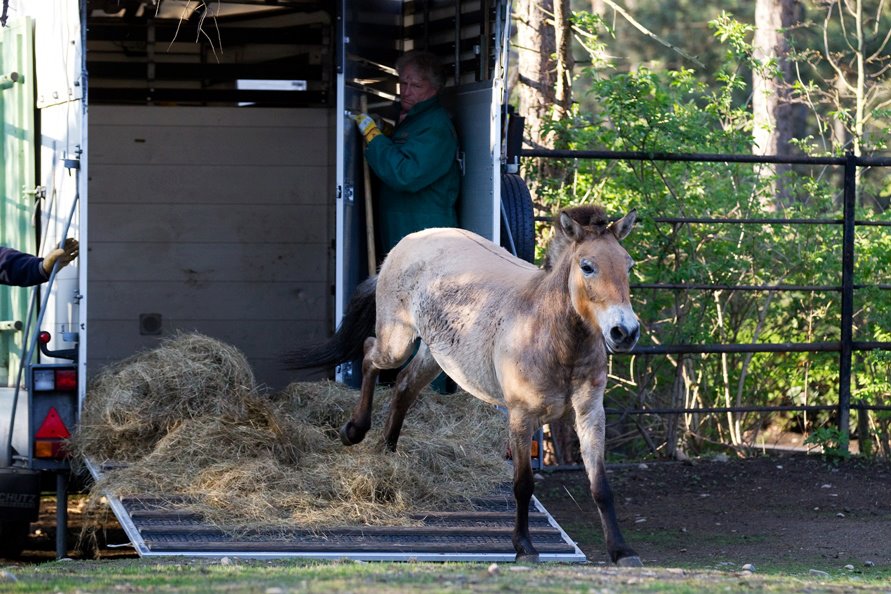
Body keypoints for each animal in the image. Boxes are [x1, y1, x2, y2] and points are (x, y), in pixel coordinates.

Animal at [290, 206, 644, 560]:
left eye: (628, 264)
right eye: (587, 266)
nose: (624, 332)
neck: (550, 334)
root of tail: (407, 243)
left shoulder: (589, 415)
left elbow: (601, 486)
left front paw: (621, 550)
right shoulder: (521, 416)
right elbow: (523, 484)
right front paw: (524, 546)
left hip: (434, 354)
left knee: (404, 386)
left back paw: (386, 451)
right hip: (397, 342)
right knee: (368, 355)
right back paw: (354, 431)